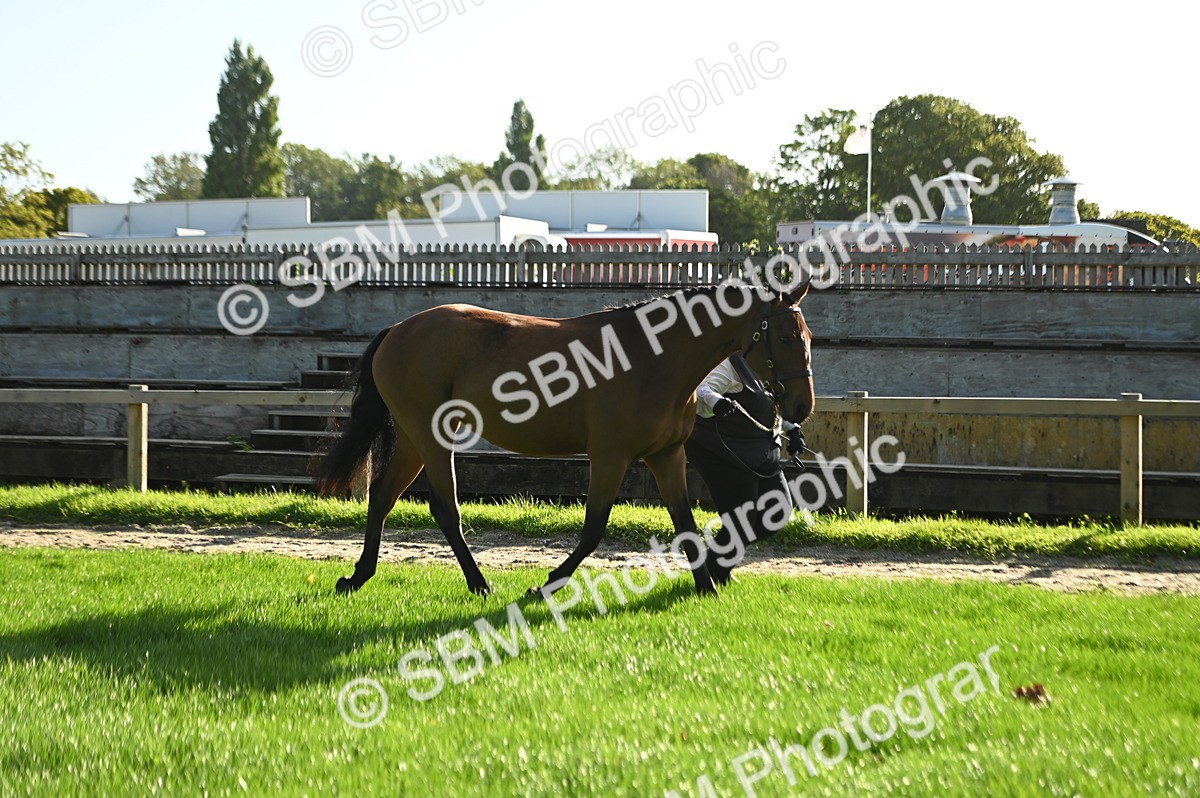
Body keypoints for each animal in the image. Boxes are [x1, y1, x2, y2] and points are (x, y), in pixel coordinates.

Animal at [313, 278, 814, 598]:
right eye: (788, 337)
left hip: (415, 439)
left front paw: (706, 587)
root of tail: (397, 329)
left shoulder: (667, 456)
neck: (650, 358)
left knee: (382, 495)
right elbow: (593, 529)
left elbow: (685, 523)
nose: (800, 409)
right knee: (444, 508)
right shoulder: (609, 456)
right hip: (431, 437)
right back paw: (479, 583)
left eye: (807, 335)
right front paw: (546, 584)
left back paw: (358, 577)